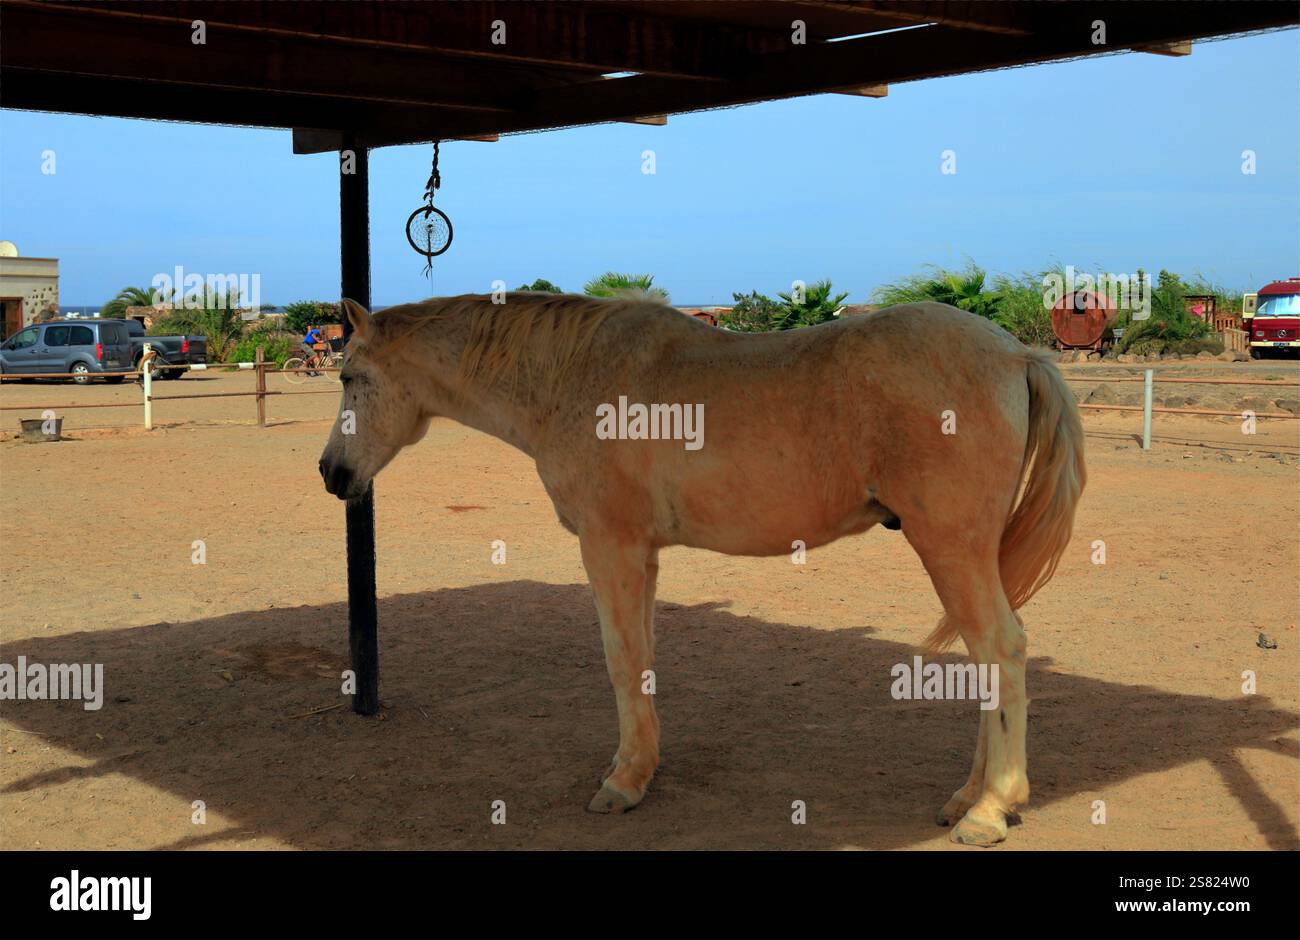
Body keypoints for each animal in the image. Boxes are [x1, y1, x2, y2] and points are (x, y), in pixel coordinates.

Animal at [318, 292, 1085, 845]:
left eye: (350, 376)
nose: (332, 473)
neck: (574, 374)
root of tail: (1016, 353)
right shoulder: (643, 554)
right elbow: (644, 659)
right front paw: (639, 767)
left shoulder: (610, 546)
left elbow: (621, 659)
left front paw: (624, 784)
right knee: (987, 657)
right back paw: (969, 796)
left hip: (949, 546)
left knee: (1001, 649)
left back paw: (989, 810)